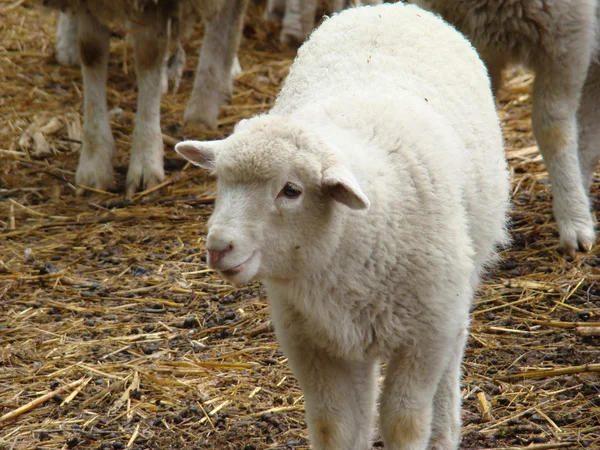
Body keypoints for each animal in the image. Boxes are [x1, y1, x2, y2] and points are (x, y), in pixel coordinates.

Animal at [39, 0, 248, 196]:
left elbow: (149, 56)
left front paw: (145, 159)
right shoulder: (89, 4)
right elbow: (92, 52)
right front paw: (94, 162)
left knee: (224, 26)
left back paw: (205, 105)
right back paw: (68, 44)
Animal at [175, 2, 510, 446]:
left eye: (291, 190)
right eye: (220, 182)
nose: (218, 247)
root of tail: (389, 7)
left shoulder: (424, 338)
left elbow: (404, 422)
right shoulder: (311, 344)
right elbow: (333, 425)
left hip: (455, 295)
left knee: (450, 361)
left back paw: (444, 431)